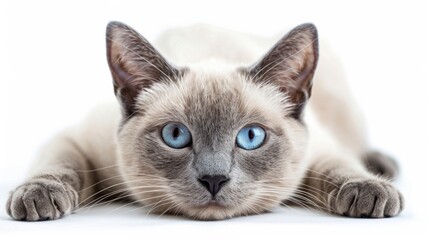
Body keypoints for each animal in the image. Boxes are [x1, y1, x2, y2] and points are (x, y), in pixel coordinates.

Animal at [5, 21, 402, 220]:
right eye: (175, 135)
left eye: (251, 137)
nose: (214, 179)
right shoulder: (76, 139)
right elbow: (61, 167)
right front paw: (38, 197)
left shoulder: (320, 148)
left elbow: (338, 168)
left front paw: (371, 192)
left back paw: (384, 167)